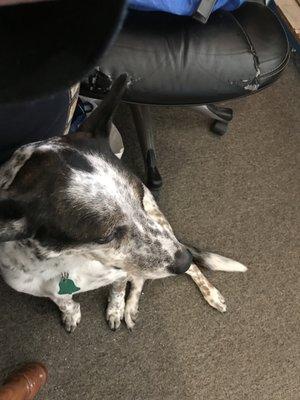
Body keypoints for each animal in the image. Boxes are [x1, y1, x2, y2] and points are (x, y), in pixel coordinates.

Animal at [0, 74, 246, 332]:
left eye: (139, 197)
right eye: (105, 236)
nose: (183, 261)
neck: (67, 261)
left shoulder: (120, 272)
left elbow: (118, 290)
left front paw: (116, 309)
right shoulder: (46, 289)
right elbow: (64, 300)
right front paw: (71, 313)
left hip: (162, 225)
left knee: (163, 274)